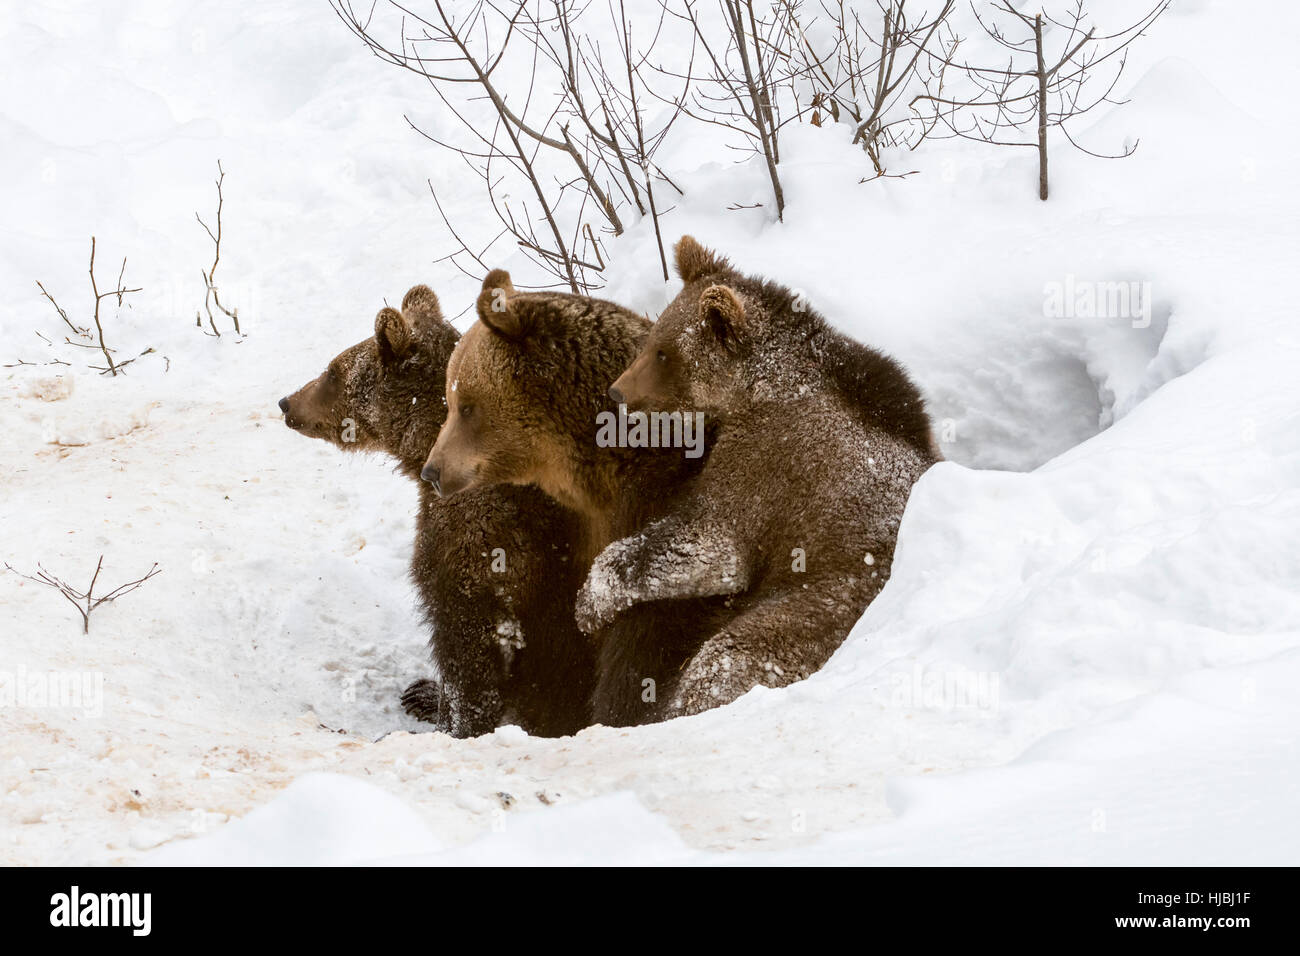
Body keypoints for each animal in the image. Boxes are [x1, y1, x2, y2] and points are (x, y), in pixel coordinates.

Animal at [278, 283, 593, 738]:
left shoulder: (482, 539)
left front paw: (450, 722)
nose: (287, 403)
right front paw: (423, 692)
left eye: (334, 372)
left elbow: (467, 642)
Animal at [421, 272, 724, 726]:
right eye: (450, 398)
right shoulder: (556, 531)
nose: (433, 471)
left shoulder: (666, 498)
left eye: (467, 406)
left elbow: (651, 630)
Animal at [573, 236, 938, 717]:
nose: (617, 392)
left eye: (665, 352)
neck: (754, 388)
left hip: (821, 606)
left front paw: (588, 602)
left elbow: (710, 544)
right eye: (652, 340)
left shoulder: (769, 464)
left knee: (729, 658)